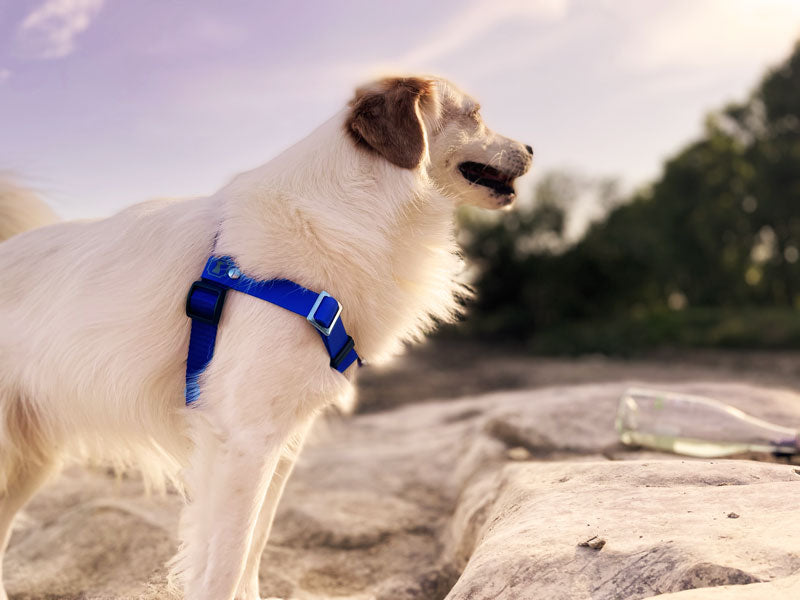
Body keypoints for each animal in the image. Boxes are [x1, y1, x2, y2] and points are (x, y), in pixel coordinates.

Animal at [0, 76, 532, 600]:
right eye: (475, 115)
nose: (530, 147)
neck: (353, 211)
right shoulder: (246, 440)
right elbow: (228, 562)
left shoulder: (281, 442)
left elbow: (255, 547)